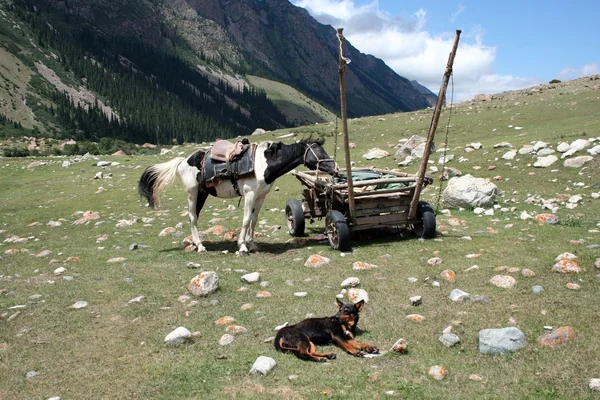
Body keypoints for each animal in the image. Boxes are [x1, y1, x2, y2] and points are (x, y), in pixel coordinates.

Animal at [138, 138, 340, 255]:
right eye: (319, 152)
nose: (336, 168)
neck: (264, 164)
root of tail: (183, 161)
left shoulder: (260, 196)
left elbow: (254, 220)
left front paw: (252, 244)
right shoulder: (250, 194)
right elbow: (245, 219)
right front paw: (242, 246)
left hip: (202, 193)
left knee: (194, 217)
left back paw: (196, 244)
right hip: (193, 192)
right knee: (193, 217)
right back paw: (200, 246)